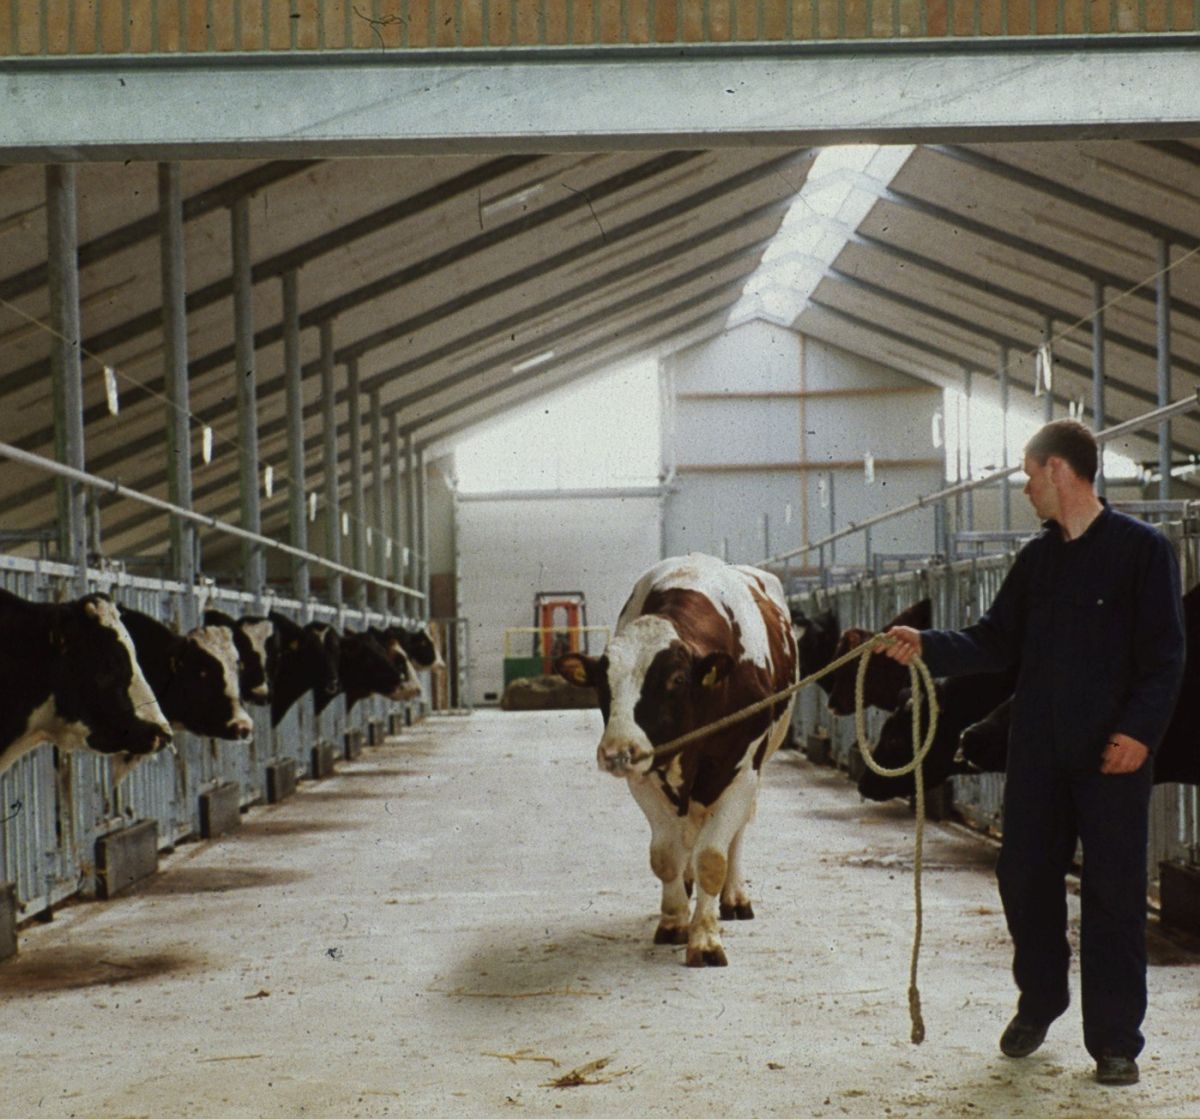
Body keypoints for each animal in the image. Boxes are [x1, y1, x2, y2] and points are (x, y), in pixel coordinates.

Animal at [556, 554, 801, 965]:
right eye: (603, 683)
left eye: (677, 679)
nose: (617, 751)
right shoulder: (644, 776)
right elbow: (666, 855)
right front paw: (674, 922)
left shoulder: (740, 773)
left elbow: (713, 858)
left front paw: (705, 939)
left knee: (735, 835)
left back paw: (734, 898)